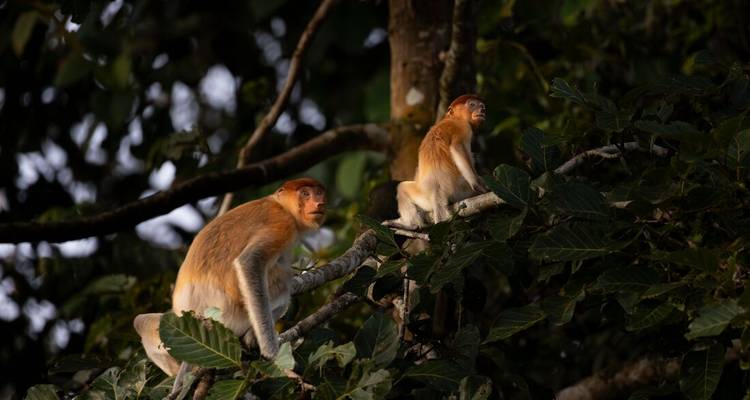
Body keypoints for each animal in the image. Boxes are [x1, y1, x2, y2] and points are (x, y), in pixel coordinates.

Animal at [133, 178, 326, 378]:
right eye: (305, 194)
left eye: (319, 193)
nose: (319, 203)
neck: (280, 204)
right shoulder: (282, 223)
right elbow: (249, 262)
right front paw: (271, 351)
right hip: (230, 318)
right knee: (282, 281)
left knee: (140, 321)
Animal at [385, 94, 487, 229]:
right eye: (472, 104)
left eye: (482, 106)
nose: (482, 110)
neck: (451, 118)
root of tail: (436, 191)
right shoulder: (463, 127)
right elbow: (457, 147)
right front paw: (478, 183)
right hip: (459, 189)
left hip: (423, 196)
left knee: (401, 188)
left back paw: (409, 225)